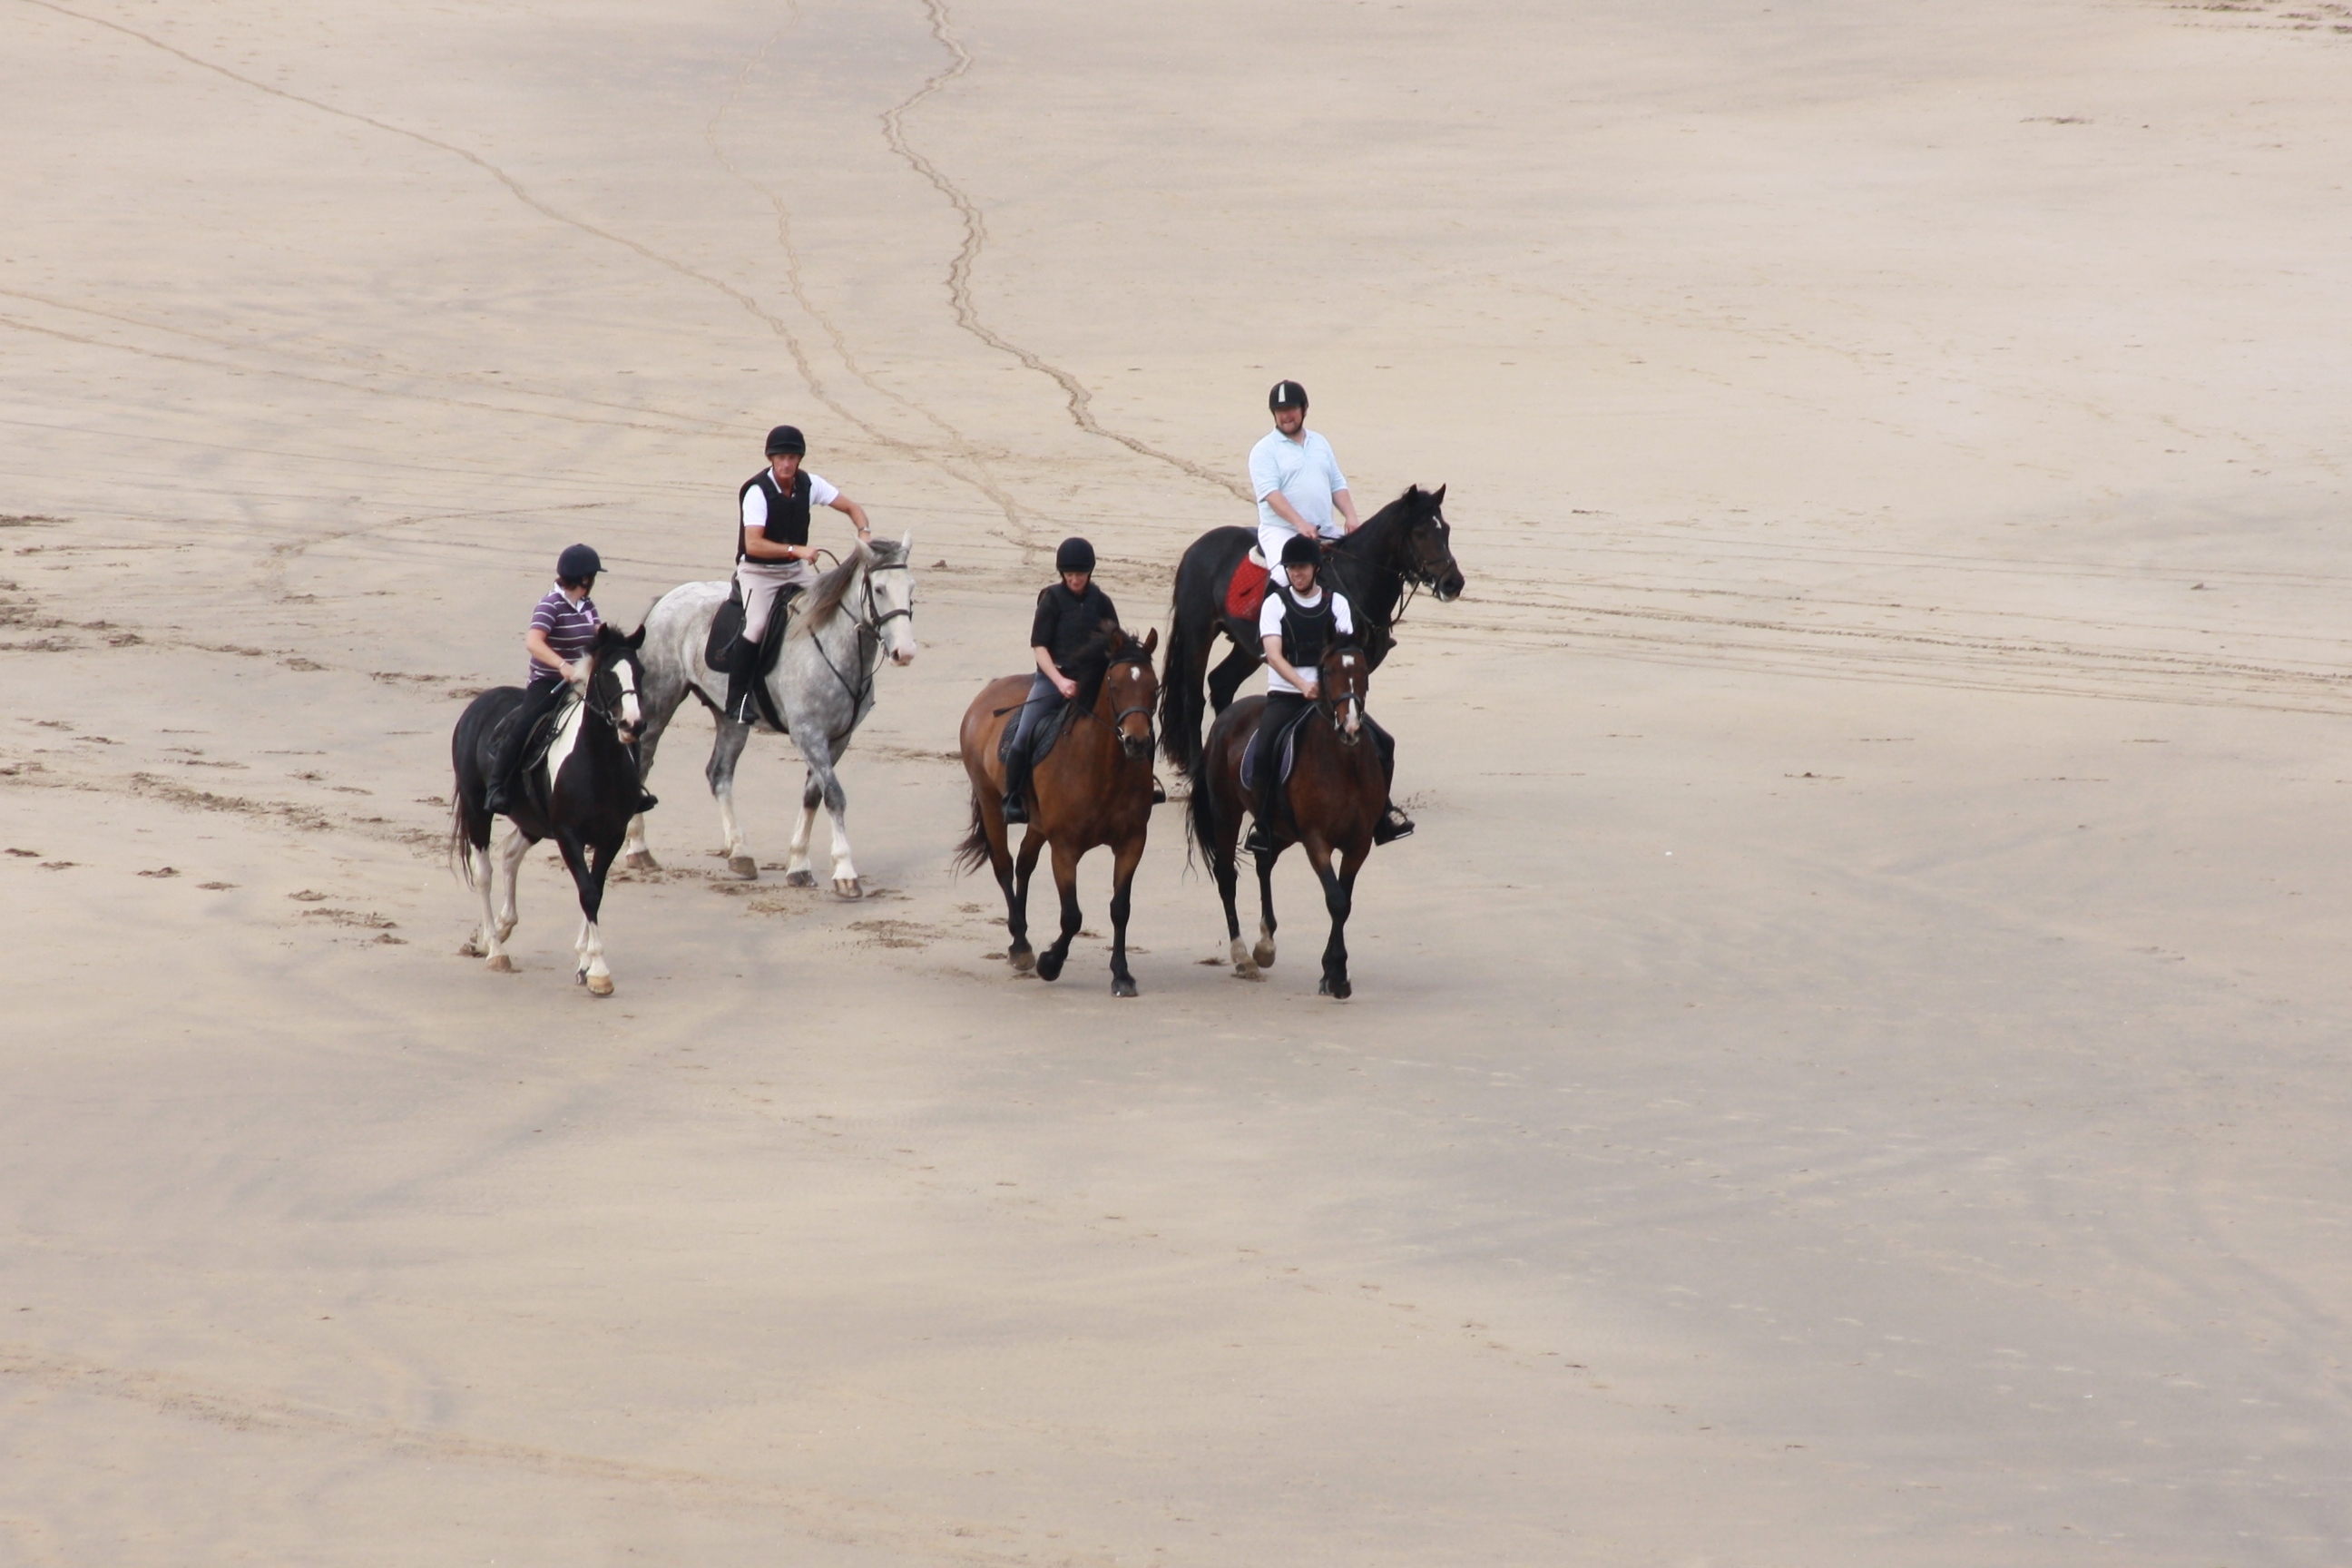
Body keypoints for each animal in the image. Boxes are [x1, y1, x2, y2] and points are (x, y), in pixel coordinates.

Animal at [448, 623, 649, 995]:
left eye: (640, 672)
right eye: (606, 674)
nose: (633, 725)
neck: (597, 763)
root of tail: (479, 704)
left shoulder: (611, 836)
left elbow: (594, 890)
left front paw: (586, 963)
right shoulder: (569, 835)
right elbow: (588, 893)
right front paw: (599, 971)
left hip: (534, 822)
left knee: (510, 853)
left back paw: (498, 929)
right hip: (477, 808)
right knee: (484, 873)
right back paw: (494, 948)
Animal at [619, 536, 917, 897]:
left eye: (911, 587)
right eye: (879, 588)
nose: (905, 653)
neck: (833, 645)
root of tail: (666, 600)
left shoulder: (837, 740)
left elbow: (813, 795)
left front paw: (799, 865)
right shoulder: (808, 734)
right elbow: (834, 796)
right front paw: (845, 872)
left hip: (731, 719)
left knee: (720, 774)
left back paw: (740, 854)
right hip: (660, 704)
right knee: (643, 762)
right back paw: (639, 849)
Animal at [953, 626, 1160, 996]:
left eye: (1155, 688)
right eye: (1115, 686)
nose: (1137, 743)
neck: (1104, 767)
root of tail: (987, 693)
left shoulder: (1132, 842)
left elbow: (1120, 908)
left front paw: (1121, 974)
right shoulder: (1065, 847)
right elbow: (1072, 916)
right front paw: (1050, 964)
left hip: (1037, 824)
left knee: (1024, 864)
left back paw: (1019, 941)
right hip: (991, 803)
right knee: (1004, 866)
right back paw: (1021, 946)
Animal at [1158, 484, 1464, 778]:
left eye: (1446, 530)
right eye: (1420, 533)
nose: (1453, 584)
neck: (1355, 582)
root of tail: (1197, 548)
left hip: (1248, 649)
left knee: (1222, 684)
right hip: (1198, 634)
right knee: (1193, 699)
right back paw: (1197, 766)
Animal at [1186, 642, 1384, 999]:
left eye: (1363, 672)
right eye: (1328, 672)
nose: (1349, 727)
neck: (1344, 763)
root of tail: (1227, 716)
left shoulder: (1358, 843)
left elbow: (1344, 901)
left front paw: (1331, 971)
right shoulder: (1316, 840)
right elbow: (1336, 900)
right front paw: (1336, 976)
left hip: (1279, 829)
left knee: (1264, 861)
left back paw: (1265, 944)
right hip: (1227, 813)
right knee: (1226, 876)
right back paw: (1242, 956)